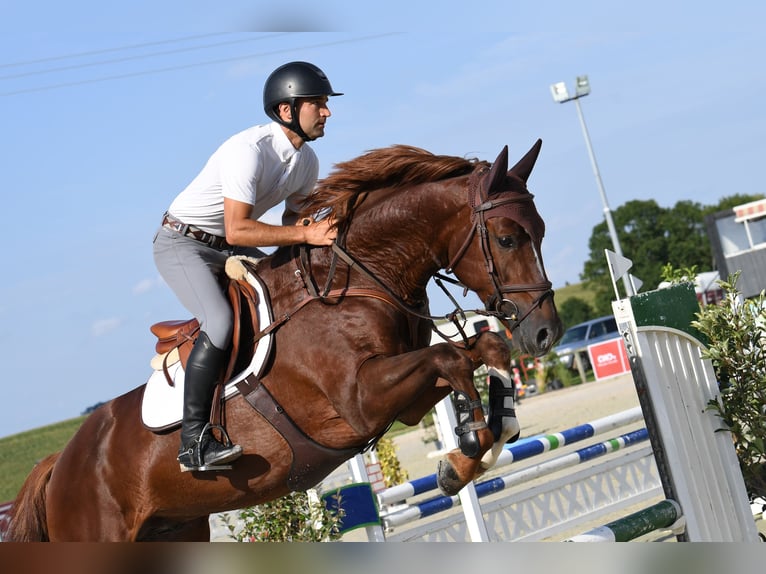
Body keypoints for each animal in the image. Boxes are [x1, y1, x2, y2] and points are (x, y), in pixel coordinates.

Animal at [6, 142, 564, 544]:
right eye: (508, 238)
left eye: (541, 231)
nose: (546, 333)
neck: (358, 277)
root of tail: (59, 463)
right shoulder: (360, 400)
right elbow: (451, 356)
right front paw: (464, 452)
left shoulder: (402, 399)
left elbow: (483, 352)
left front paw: (487, 434)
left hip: (177, 529)